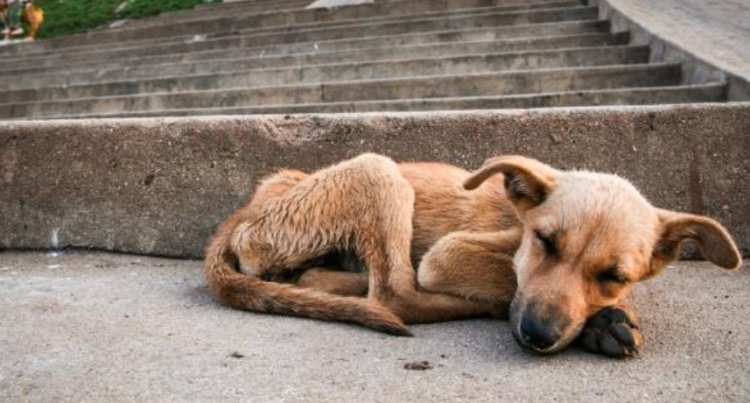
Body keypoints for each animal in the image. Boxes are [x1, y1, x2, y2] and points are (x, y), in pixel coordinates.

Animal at [203, 153, 744, 358]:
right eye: (545, 242)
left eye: (614, 274)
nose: (538, 335)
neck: (517, 221)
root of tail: (247, 210)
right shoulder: (448, 254)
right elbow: (508, 282)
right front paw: (602, 321)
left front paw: (604, 315)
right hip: (377, 169)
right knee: (396, 295)